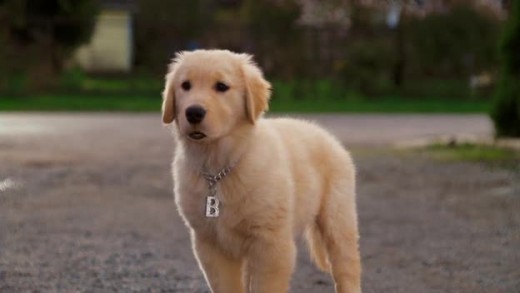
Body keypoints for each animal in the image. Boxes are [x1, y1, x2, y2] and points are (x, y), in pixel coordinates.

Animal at [162, 49, 362, 290]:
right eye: (185, 85)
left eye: (221, 86)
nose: (193, 112)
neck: (218, 168)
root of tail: (327, 135)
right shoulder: (209, 242)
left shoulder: (271, 243)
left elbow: (266, 286)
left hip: (337, 219)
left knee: (347, 267)